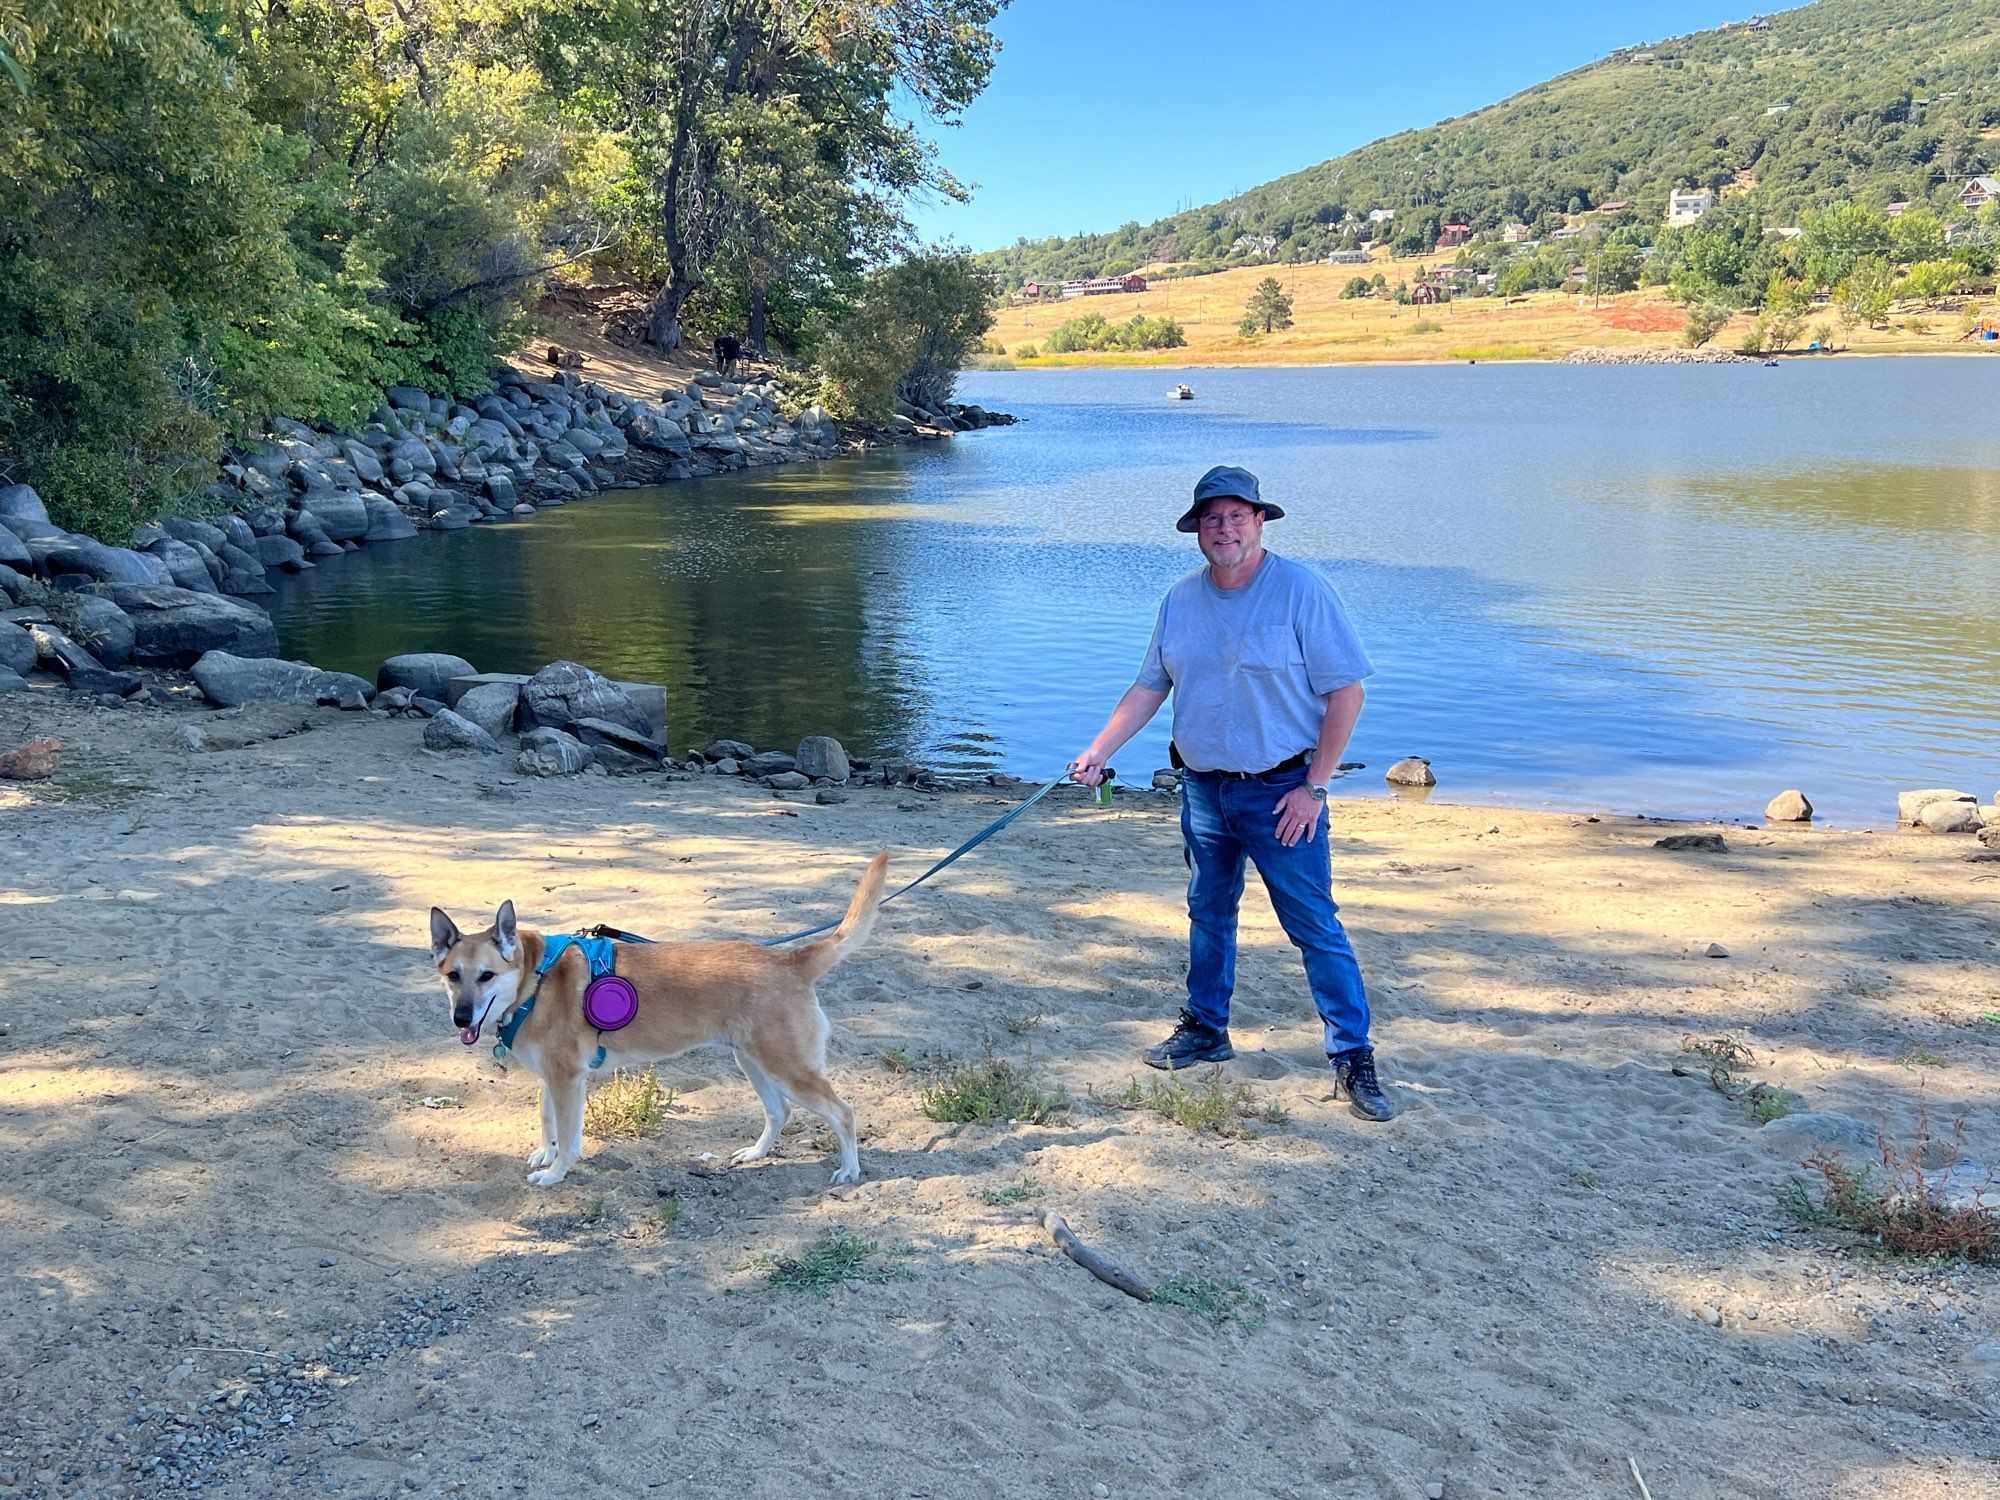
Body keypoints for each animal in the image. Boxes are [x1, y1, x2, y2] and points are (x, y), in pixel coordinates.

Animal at [432, 852, 892, 1192]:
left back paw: (849, 1170)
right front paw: (545, 1152)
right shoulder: (553, 1079)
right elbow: (548, 1121)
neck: (535, 978)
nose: (461, 1018)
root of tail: (790, 959)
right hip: (754, 1064)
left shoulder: (567, 1080)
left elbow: (569, 1137)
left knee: (843, 1112)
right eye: (453, 976)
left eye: (486, 976)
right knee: (780, 1113)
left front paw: (555, 1171)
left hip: (788, 1069)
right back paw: (755, 1155)